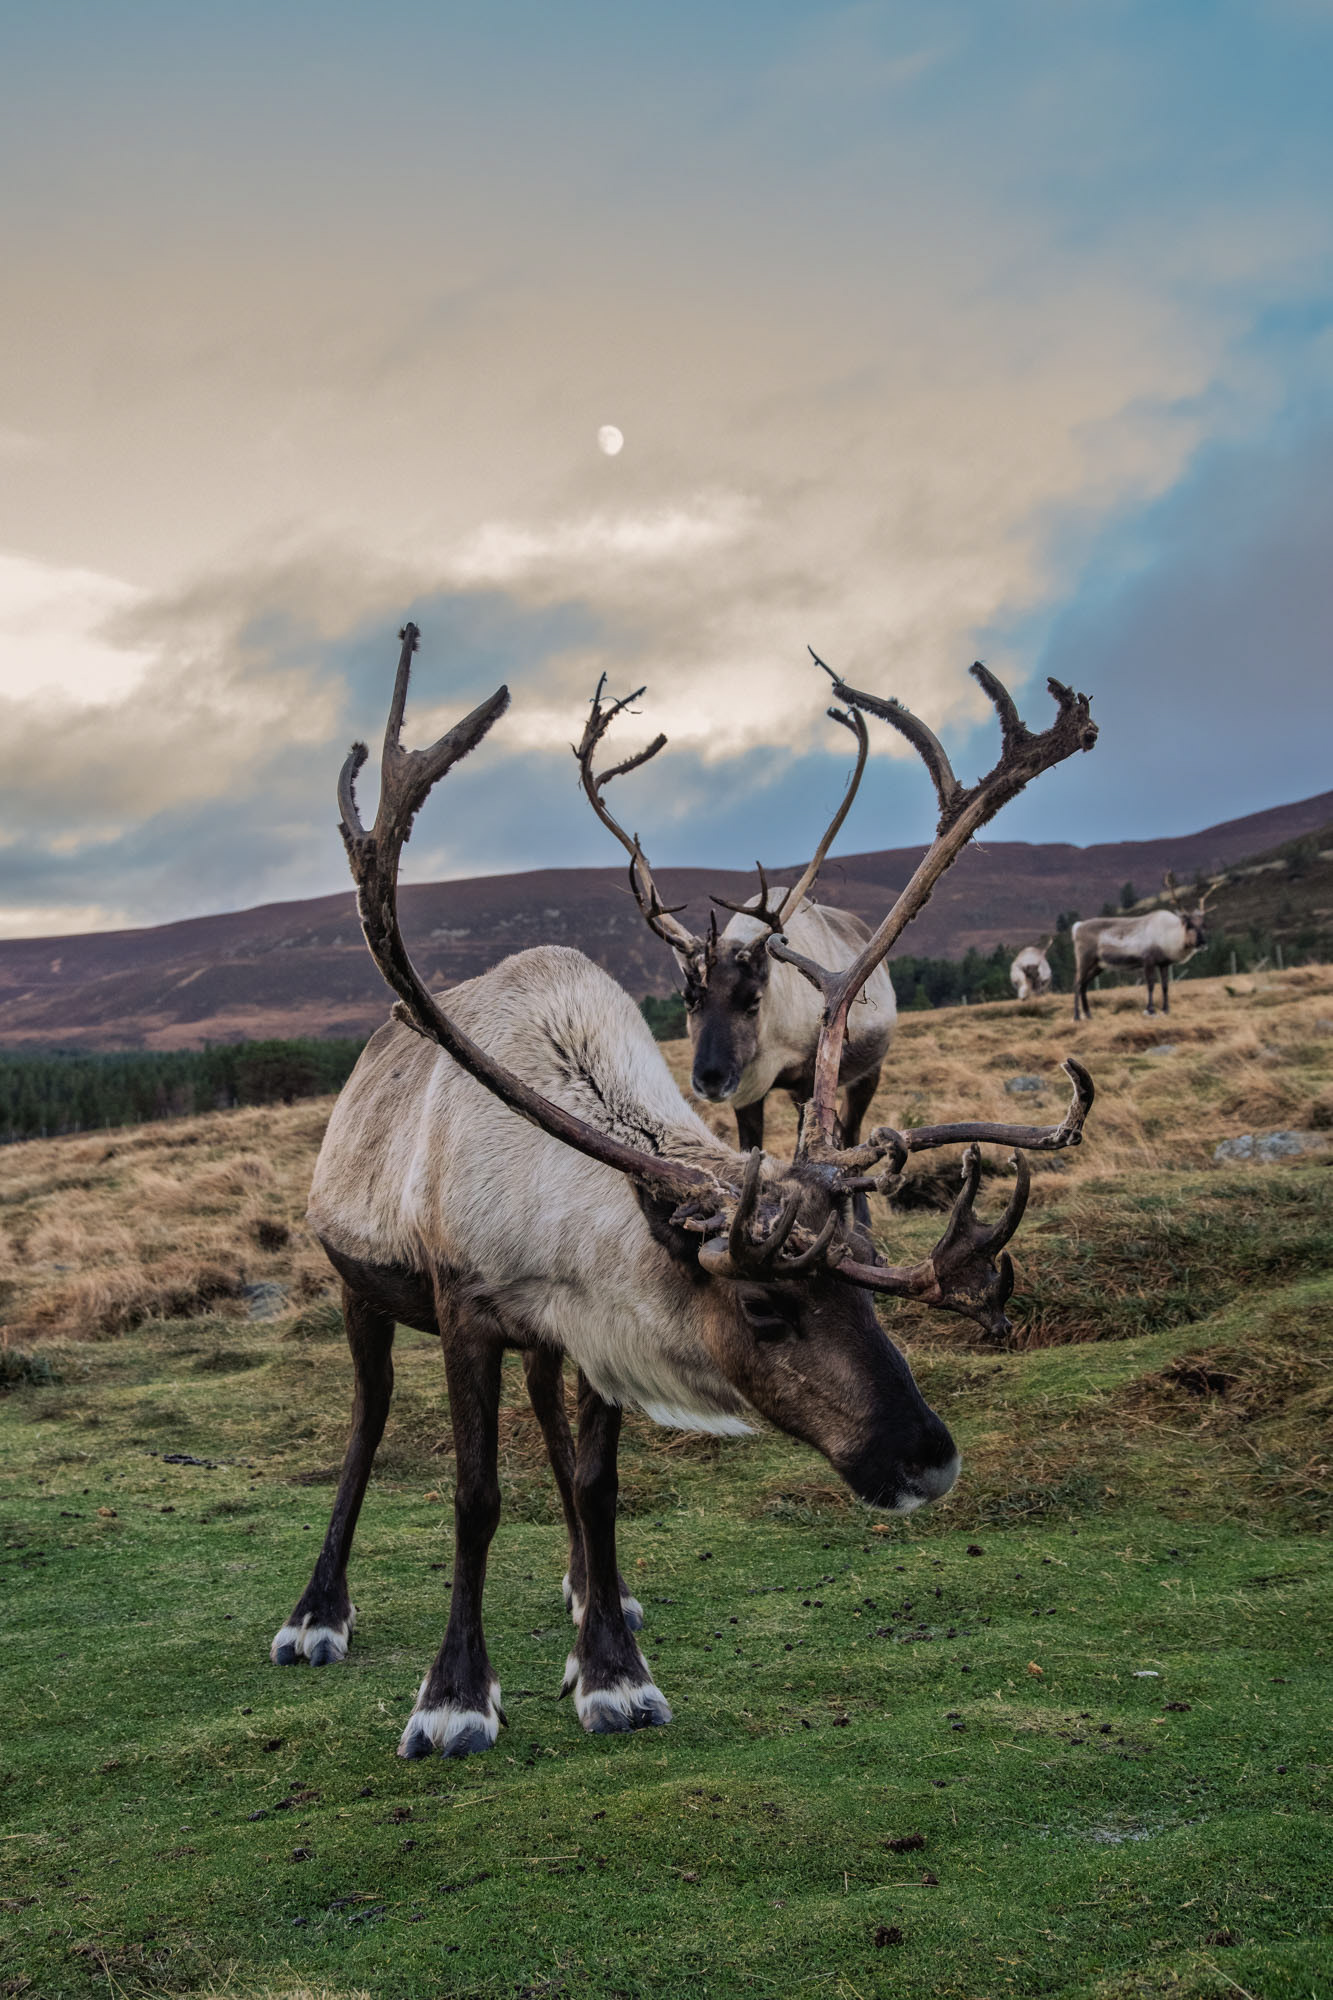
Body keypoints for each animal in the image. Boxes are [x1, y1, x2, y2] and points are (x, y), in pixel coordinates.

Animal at [576, 666, 895, 1157]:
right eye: (689, 999)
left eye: (752, 1001)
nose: (709, 1079)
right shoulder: (747, 1092)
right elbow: (752, 1149)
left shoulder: (805, 1079)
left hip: (869, 1072)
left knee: (854, 1129)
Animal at [1072, 874, 1213, 1021]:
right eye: (1189, 924)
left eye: (1203, 925)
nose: (1203, 943)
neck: (1168, 935)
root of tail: (1077, 927)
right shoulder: (1148, 960)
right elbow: (1150, 985)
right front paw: (1150, 1010)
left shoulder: (1164, 963)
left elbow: (1165, 986)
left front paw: (1166, 1009)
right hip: (1084, 959)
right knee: (1077, 983)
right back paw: (1077, 1016)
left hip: (1098, 965)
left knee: (1084, 985)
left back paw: (1088, 1014)